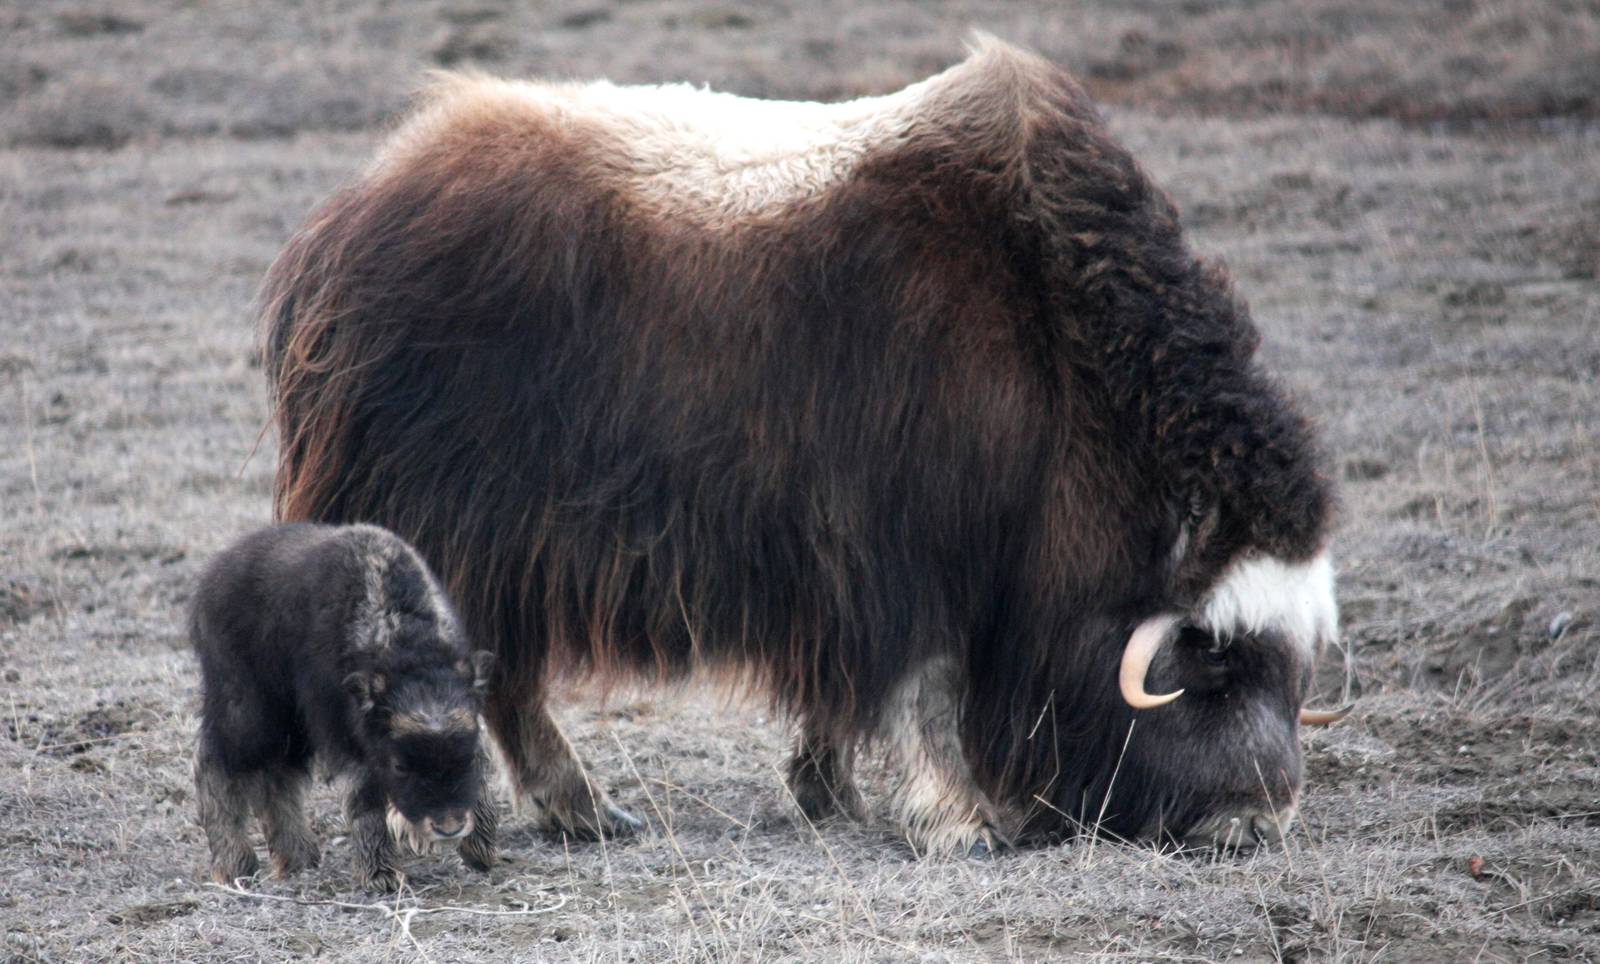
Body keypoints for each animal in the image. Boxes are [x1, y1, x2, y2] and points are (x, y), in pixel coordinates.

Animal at [191, 523, 498, 890]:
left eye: (467, 757)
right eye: (399, 766)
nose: (448, 827)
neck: (405, 647)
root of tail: (213, 573)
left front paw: (481, 851)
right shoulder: (348, 737)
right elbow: (365, 798)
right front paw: (381, 876)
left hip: (289, 727)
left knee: (277, 779)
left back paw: (298, 859)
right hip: (248, 711)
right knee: (218, 763)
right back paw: (234, 864)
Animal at [259, 37, 1349, 858]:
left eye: (1296, 668)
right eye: (1208, 661)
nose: (1257, 821)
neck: (1056, 353)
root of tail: (349, 222)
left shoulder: (856, 570)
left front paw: (827, 791)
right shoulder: (917, 553)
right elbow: (925, 686)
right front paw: (967, 822)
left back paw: (581, 813)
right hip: (456, 533)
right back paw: (510, 813)